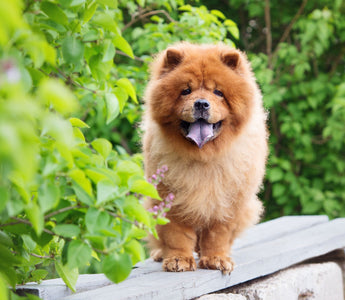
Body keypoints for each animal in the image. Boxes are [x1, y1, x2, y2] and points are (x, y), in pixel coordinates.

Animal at [141, 42, 268, 274]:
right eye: (186, 91)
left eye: (218, 92)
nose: (201, 103)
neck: (204, 157)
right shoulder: (170, 199)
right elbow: (176, 235)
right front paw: (178, 260)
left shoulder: (227, 203)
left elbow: (218, 235)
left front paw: (216, 259)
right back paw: (160, 254)